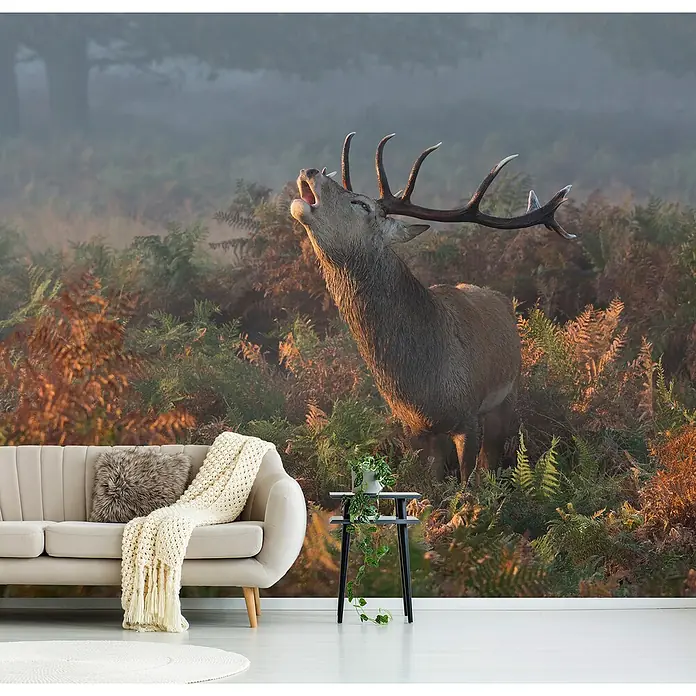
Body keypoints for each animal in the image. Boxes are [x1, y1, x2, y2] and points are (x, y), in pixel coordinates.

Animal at [290, 133, 575, 484]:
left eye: (361, 203)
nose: (310, 170)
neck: (423, 384)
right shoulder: (412, 428)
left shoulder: (468, 415)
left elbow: (468, 482)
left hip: (507, 396)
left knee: (492, 458)